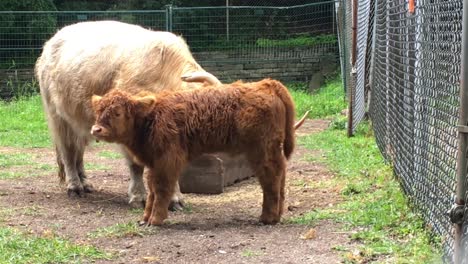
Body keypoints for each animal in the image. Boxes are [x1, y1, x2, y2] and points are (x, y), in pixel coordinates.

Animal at [91, 78, 304, 225]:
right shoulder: (154, 162)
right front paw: (145, 218)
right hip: (271, 151)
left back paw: (267, 218)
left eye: (117, 112)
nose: (96, 130)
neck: (151, 117)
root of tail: (266, 84)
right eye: (98, 111)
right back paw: (276, 215)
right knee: (280, 175)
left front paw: (156, 220)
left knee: (271, 179)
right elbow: (152, 189)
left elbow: (161, 188)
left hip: (262, 151)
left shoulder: (167, 161)